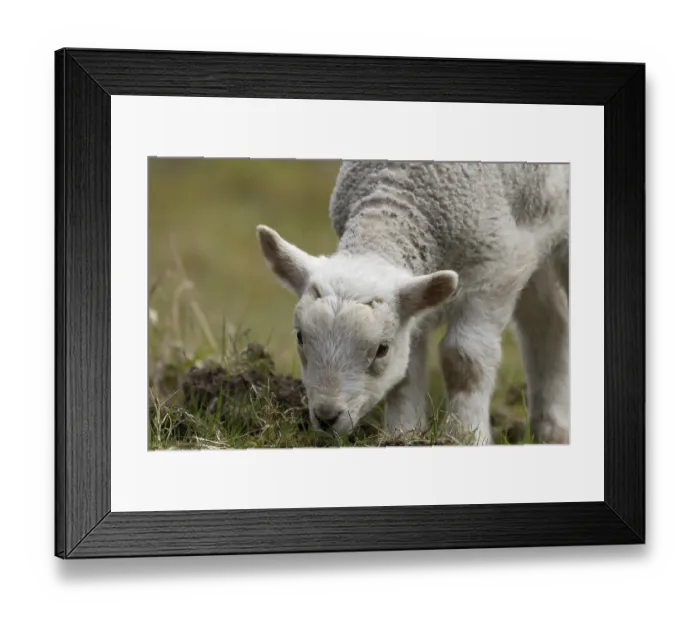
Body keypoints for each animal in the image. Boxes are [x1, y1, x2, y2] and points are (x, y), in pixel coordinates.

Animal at [256, 161, 570, 445]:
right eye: (300, 337)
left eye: (381, 349)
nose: (327, 417)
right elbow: (406, 370)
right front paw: (402, 435)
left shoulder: (496, 270)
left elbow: (464, 359)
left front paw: (465, 436)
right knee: (549, 320)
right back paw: (551, 428)